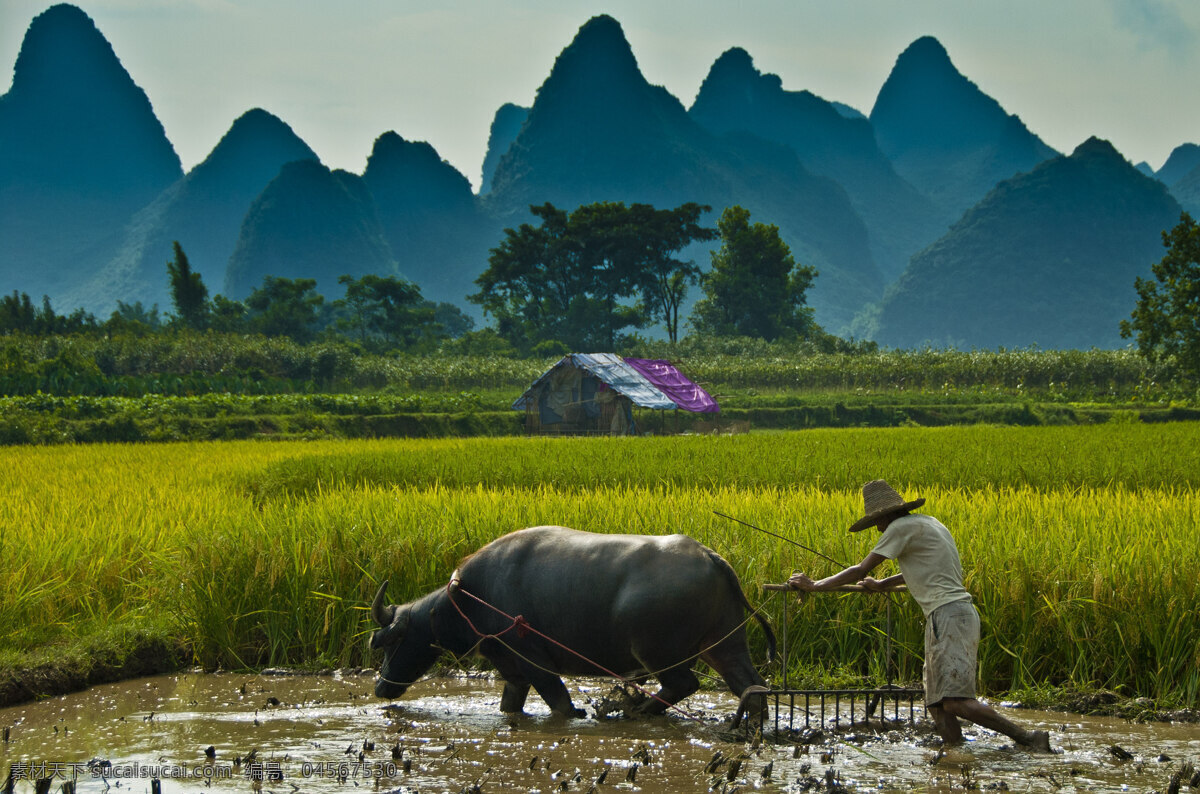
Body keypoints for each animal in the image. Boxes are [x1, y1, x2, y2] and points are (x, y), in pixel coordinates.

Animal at [369, 527, 772, 719]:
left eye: (391, 641)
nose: (380, 687)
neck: (469, 597)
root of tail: (711, 556)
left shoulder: (532, 656)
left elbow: (560, 702)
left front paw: (577, 712)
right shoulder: (510, 666)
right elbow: (510, 703)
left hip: (656, 651)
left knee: (682, 684)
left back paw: (637, 711)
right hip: (725, 643)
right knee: (750, 686)